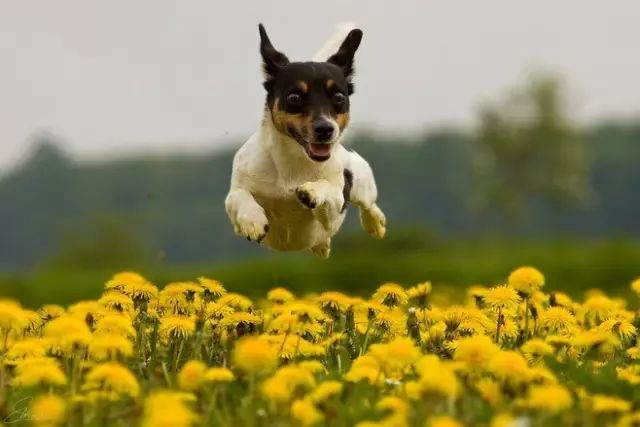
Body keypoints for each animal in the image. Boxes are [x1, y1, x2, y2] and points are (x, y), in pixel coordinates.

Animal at [225, 24, 384, 260]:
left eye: (339, 97)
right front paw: (252, 221)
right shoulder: (235, 193)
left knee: (368, 204)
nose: (325, 129)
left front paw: (312, 191)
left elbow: (327, 190)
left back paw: (375, 223)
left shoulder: (334, 207)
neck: (293, 161)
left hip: (361, 180)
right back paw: (322, 246)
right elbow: (240, 196)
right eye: (294, 98)